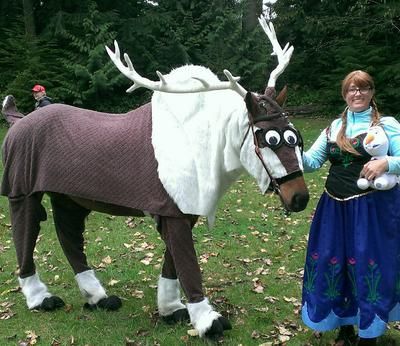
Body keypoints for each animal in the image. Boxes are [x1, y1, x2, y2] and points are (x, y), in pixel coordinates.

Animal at [0, 17, 310, 340]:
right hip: (22, 191)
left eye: (294, 136)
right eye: (268, 138)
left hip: (69, 198)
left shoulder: (182, 212)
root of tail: (17, 120)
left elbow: (172, 264)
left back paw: (98, 298)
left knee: (68, 235)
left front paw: (171, 310)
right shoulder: (172, 213)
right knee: (24, 234)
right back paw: (40, 299)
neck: (204, 142)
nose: (299, 197)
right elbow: (187, 264)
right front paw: (207, 321)